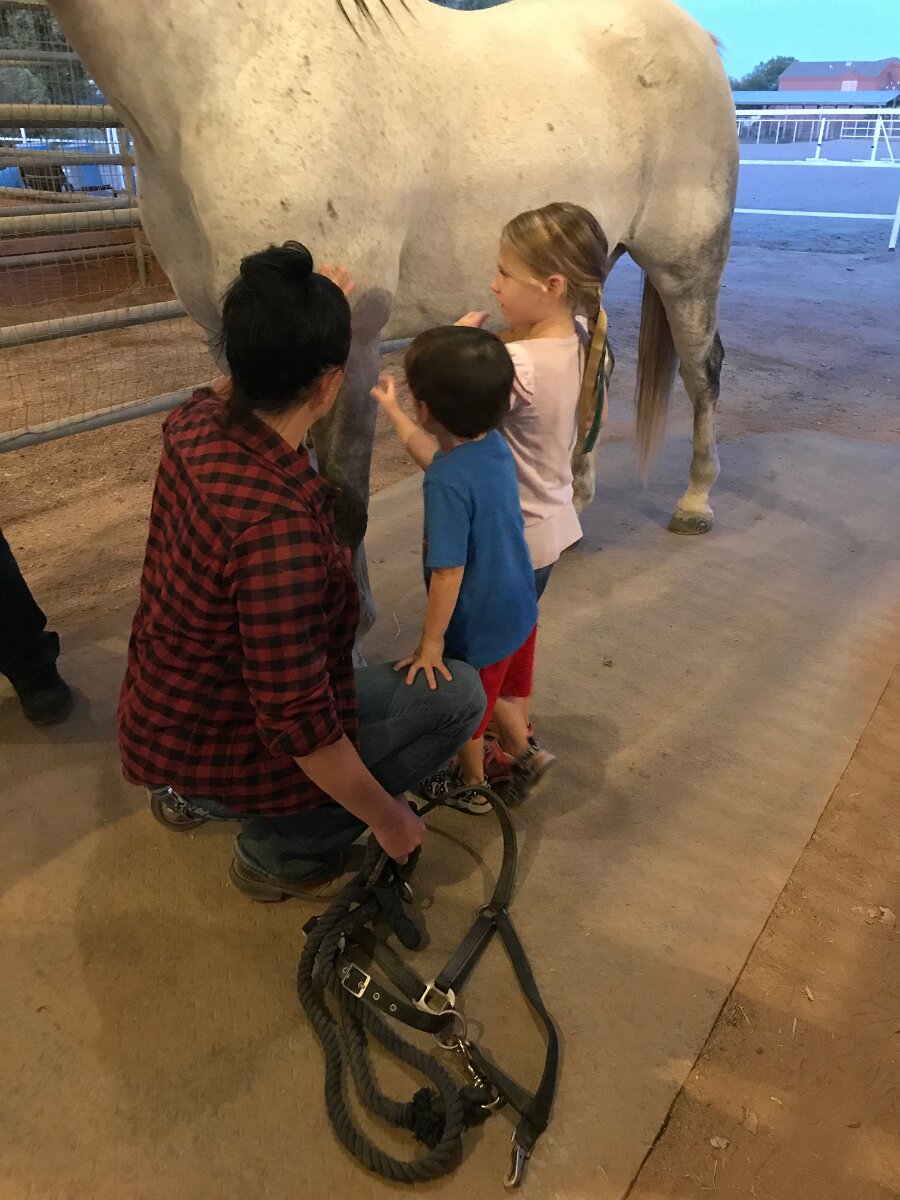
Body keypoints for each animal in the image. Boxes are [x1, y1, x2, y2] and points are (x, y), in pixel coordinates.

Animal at [47, 0, 738, 631]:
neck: (228, 67)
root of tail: (695, 34)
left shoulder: (350, 344)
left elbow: (345, 501)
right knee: (598, 369)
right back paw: (577, 499)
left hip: (685, 267)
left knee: (702, 372)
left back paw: (696, 501)